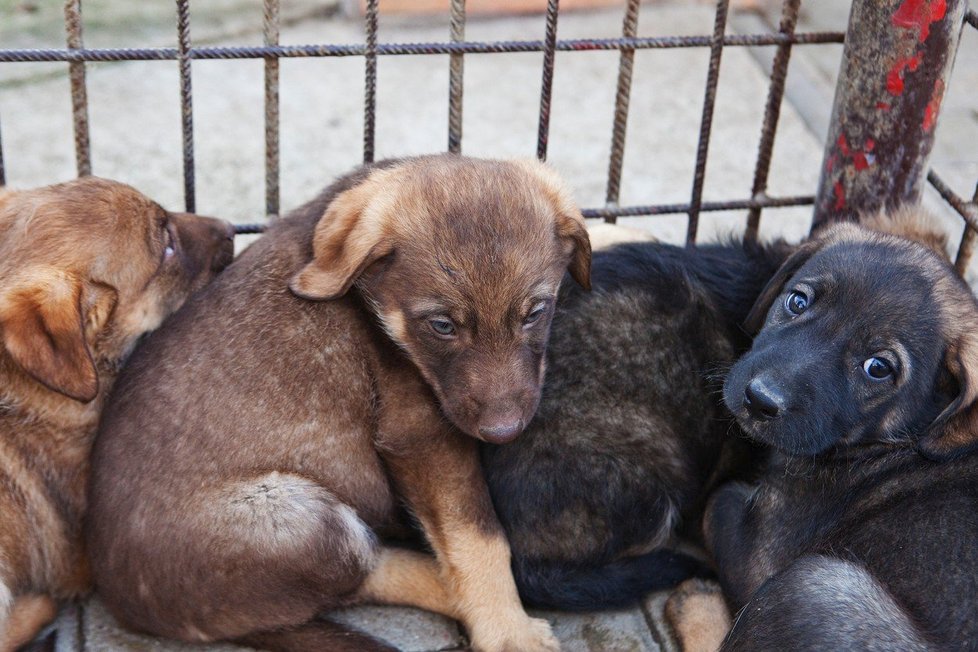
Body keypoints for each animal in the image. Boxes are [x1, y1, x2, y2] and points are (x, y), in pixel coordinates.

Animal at [86, 154, 588, 652]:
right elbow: (479, 537)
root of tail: (127, 605)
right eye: (442, 326)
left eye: (536, 313)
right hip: (299, 520)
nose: (503, 432)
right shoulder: (421, 436)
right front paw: (507, 631)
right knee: (358, 576)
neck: (371, 298)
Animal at [704, 211, 976, 648]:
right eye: (797, 302)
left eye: (878, 368)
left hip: (815, 587)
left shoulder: (759, 557)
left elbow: (716, 502)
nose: (760, 400)